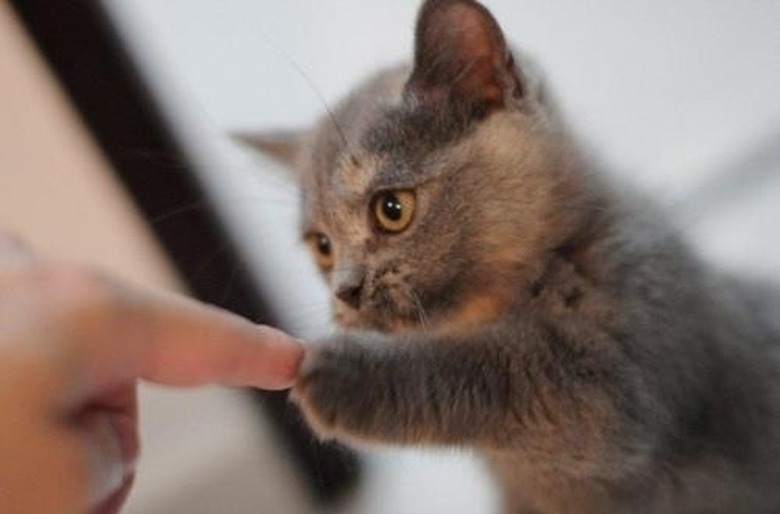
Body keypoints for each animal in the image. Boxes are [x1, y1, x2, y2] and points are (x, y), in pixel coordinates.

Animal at [244, 1, 780, 512]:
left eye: (392, 209)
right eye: (322, 247)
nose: (347, 291)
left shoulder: (630, 370)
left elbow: (506, 371)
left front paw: (348, 372)